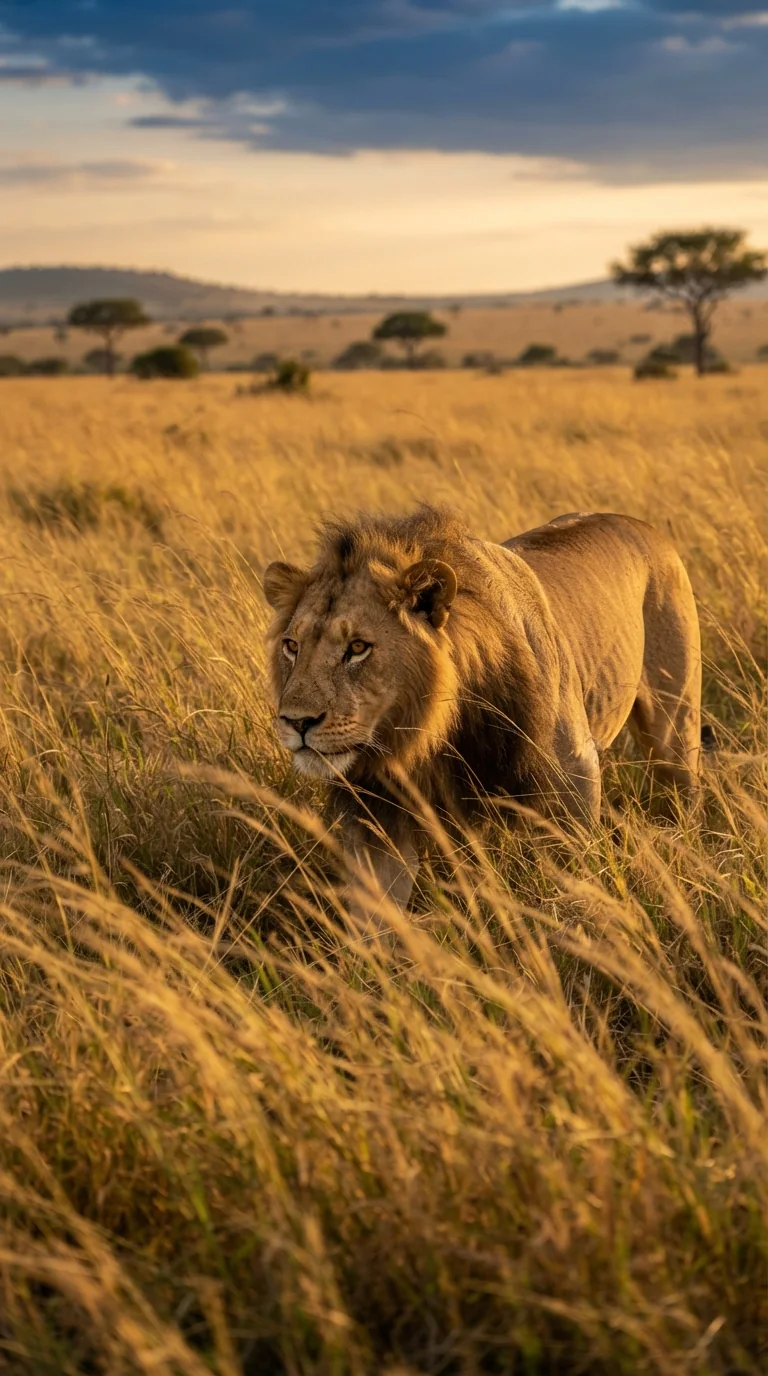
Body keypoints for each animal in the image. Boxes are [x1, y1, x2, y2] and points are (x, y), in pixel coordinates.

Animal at [263, 508, 702, 907]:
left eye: (357, 647)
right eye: (292, 646)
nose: (296, 722)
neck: (434, 736)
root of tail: (638, 523)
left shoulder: (575, 781)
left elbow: (579, 889)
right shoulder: (375, 812)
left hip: (674, 725)